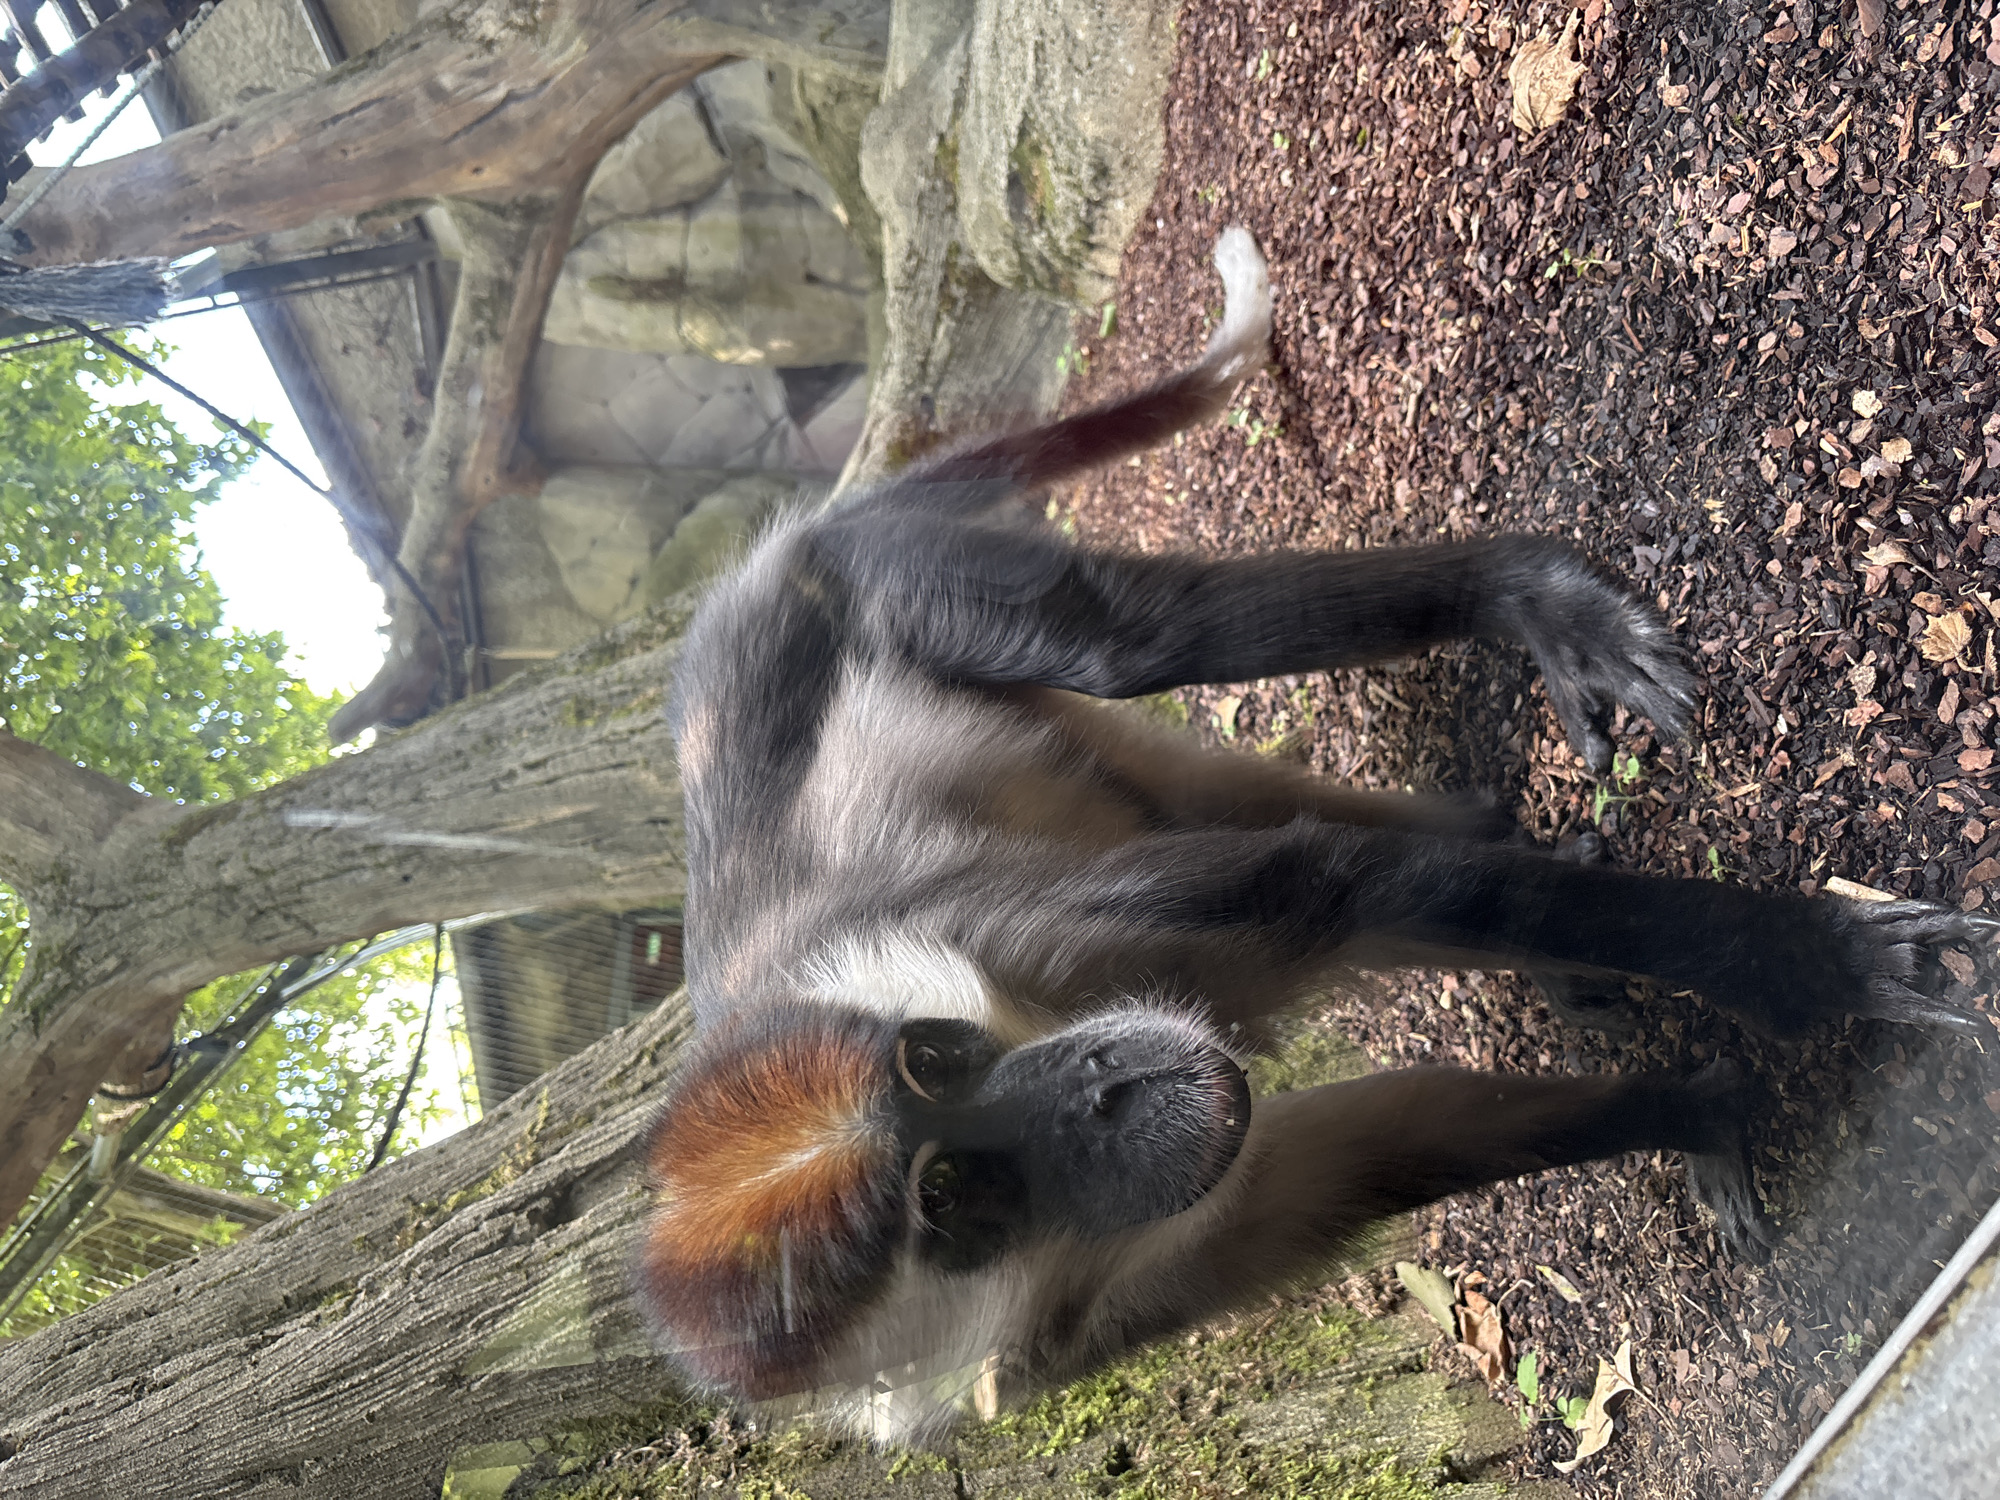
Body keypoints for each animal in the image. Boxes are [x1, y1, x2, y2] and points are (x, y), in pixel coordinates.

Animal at [636, 227, 1994, 1443]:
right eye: (952, 1194)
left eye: (937, 1063)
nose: (1101, 1082)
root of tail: (764, 565)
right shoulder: (1049, 1337)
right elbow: (1327, 1169)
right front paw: (1694, 1108)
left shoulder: (1013, 939)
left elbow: (1342, 890)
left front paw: (1808, 966)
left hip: (882, 583)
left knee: (1133, 655)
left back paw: (1524, 597)